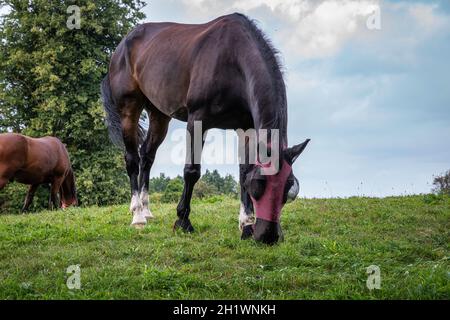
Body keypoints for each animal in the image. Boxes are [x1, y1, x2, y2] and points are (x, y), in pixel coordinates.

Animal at [103, 11, 310, 242]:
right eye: (258, 187)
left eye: (288, 190)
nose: (268, 236)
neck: (232, 61)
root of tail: (123, 44)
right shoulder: (197, 120)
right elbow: (192, 171)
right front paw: (183, 221)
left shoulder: (246, 128)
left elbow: (244, 170)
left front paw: (246, 225)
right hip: (129, 109)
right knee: (132, 159)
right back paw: (138, 214)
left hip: (159, 115)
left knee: (147, 155)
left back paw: (146, 210)